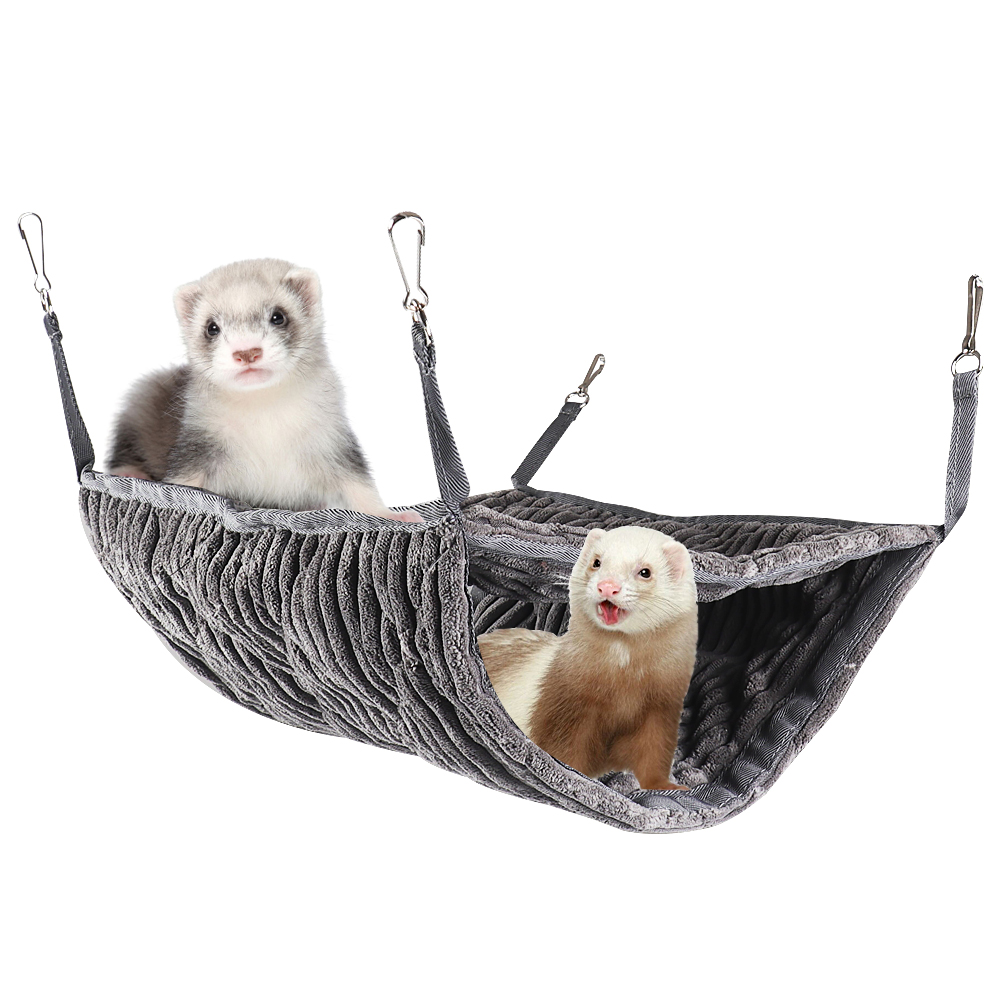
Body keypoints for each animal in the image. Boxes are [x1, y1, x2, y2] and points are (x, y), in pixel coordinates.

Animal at [108, 259, 420, 521]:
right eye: (212, 327)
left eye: (278, 316)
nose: (247, 351)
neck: (265, 422)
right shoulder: (196, 445)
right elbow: (183, 482)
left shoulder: (333, 439)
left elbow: (359, 482)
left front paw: (392, 515)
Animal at [478, 525, 698, 790]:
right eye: (596, 561)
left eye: (645, 571)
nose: (607, 586)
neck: (623, 692)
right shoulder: (565, 708)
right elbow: (564, 753)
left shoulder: (660, 710)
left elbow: (654, 754)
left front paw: (667, 786)